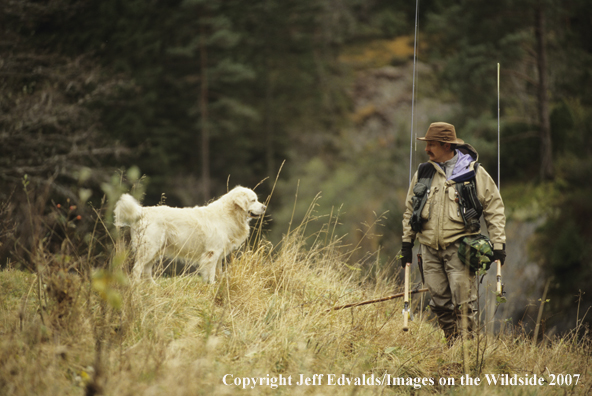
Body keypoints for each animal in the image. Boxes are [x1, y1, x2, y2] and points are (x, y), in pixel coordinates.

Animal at [113, 186, 266, 282]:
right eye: (253, 200)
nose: (264, 207)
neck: (228, 214)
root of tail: (143, 211)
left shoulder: (218, 254)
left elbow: (218, 271)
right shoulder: (212, 253)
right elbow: (210, 274)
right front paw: (211, 287)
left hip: (155, 251)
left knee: (146, 271)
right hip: (149, 249)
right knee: (137, 269)